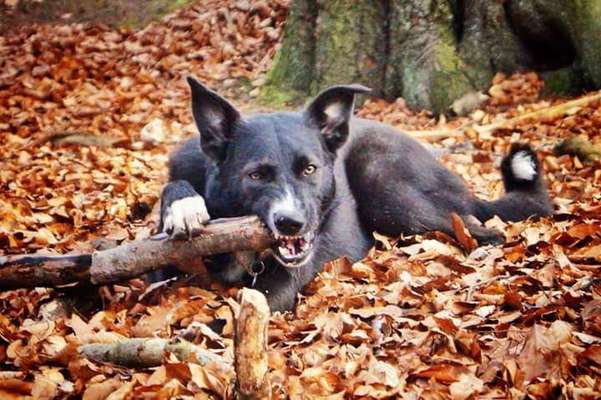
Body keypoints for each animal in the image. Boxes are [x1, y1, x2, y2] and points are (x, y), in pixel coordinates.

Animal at [157, 77, 552, 310]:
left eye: (310, 169)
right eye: (255, 175)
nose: (291, 224)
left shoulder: (282, 284)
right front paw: (184, 206)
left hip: (383, 184)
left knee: (481, 228)